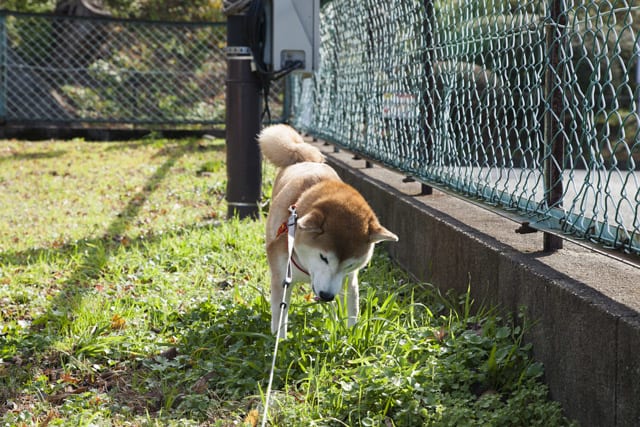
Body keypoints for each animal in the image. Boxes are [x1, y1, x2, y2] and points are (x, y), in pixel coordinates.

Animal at [258, 124, 398, 336]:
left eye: (350, 264)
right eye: (323, 257)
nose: (326, 296)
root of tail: (306, 158)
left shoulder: (349, 279)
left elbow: (352, 308)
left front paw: (351, 336)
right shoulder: (282, 278)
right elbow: (280, 317)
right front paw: (280, 340)